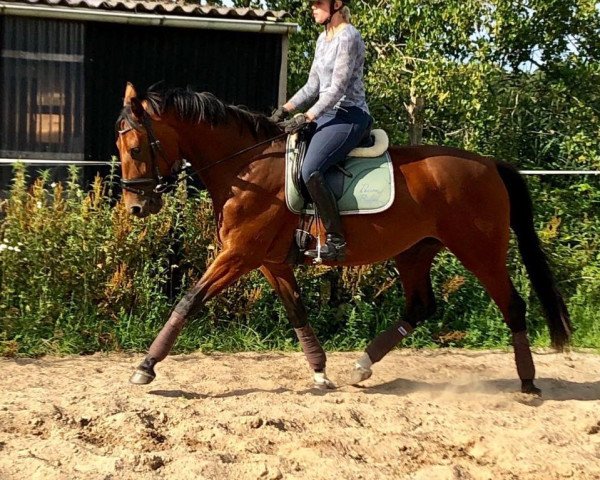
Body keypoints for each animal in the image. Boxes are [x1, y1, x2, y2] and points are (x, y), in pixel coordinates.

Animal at [116, 82, 572, 396]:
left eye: (136, 148)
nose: (136, 207)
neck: (247, 167)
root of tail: (490, 163)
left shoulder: (238, 254)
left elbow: (190, 300)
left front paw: (145, 366)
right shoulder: (269, 261)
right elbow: (297, 311)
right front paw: (320, 372)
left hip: (479, 250)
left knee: (512, 305)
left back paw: (528, 384)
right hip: (415, 251)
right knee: (421, 306)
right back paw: (362, 365)